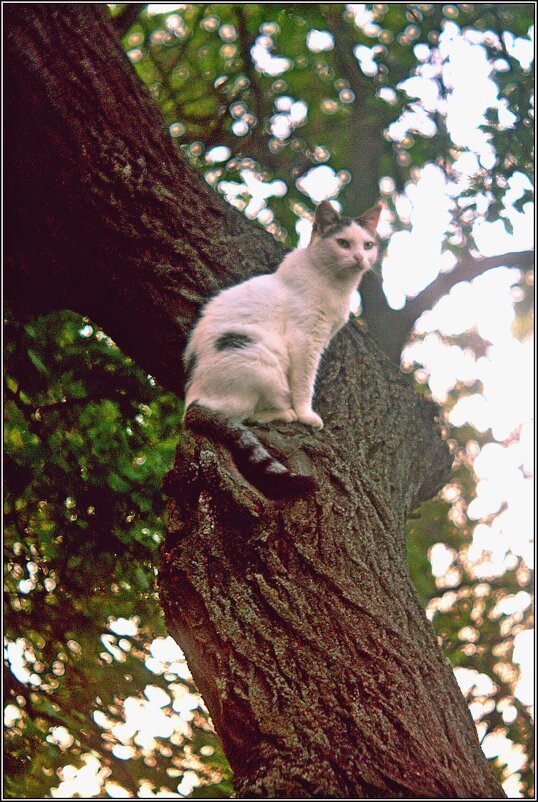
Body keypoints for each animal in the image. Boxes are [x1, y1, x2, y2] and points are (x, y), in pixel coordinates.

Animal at [182, 200, 378, 494]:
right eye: (343, 243)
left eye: (367, 245)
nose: (358, 257)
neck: (335, 285)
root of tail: (190, 400)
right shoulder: (305, 340)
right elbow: (305, 383)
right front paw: (306, 414)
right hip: (261, 358)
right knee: (241, 415)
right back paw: (286, 413)